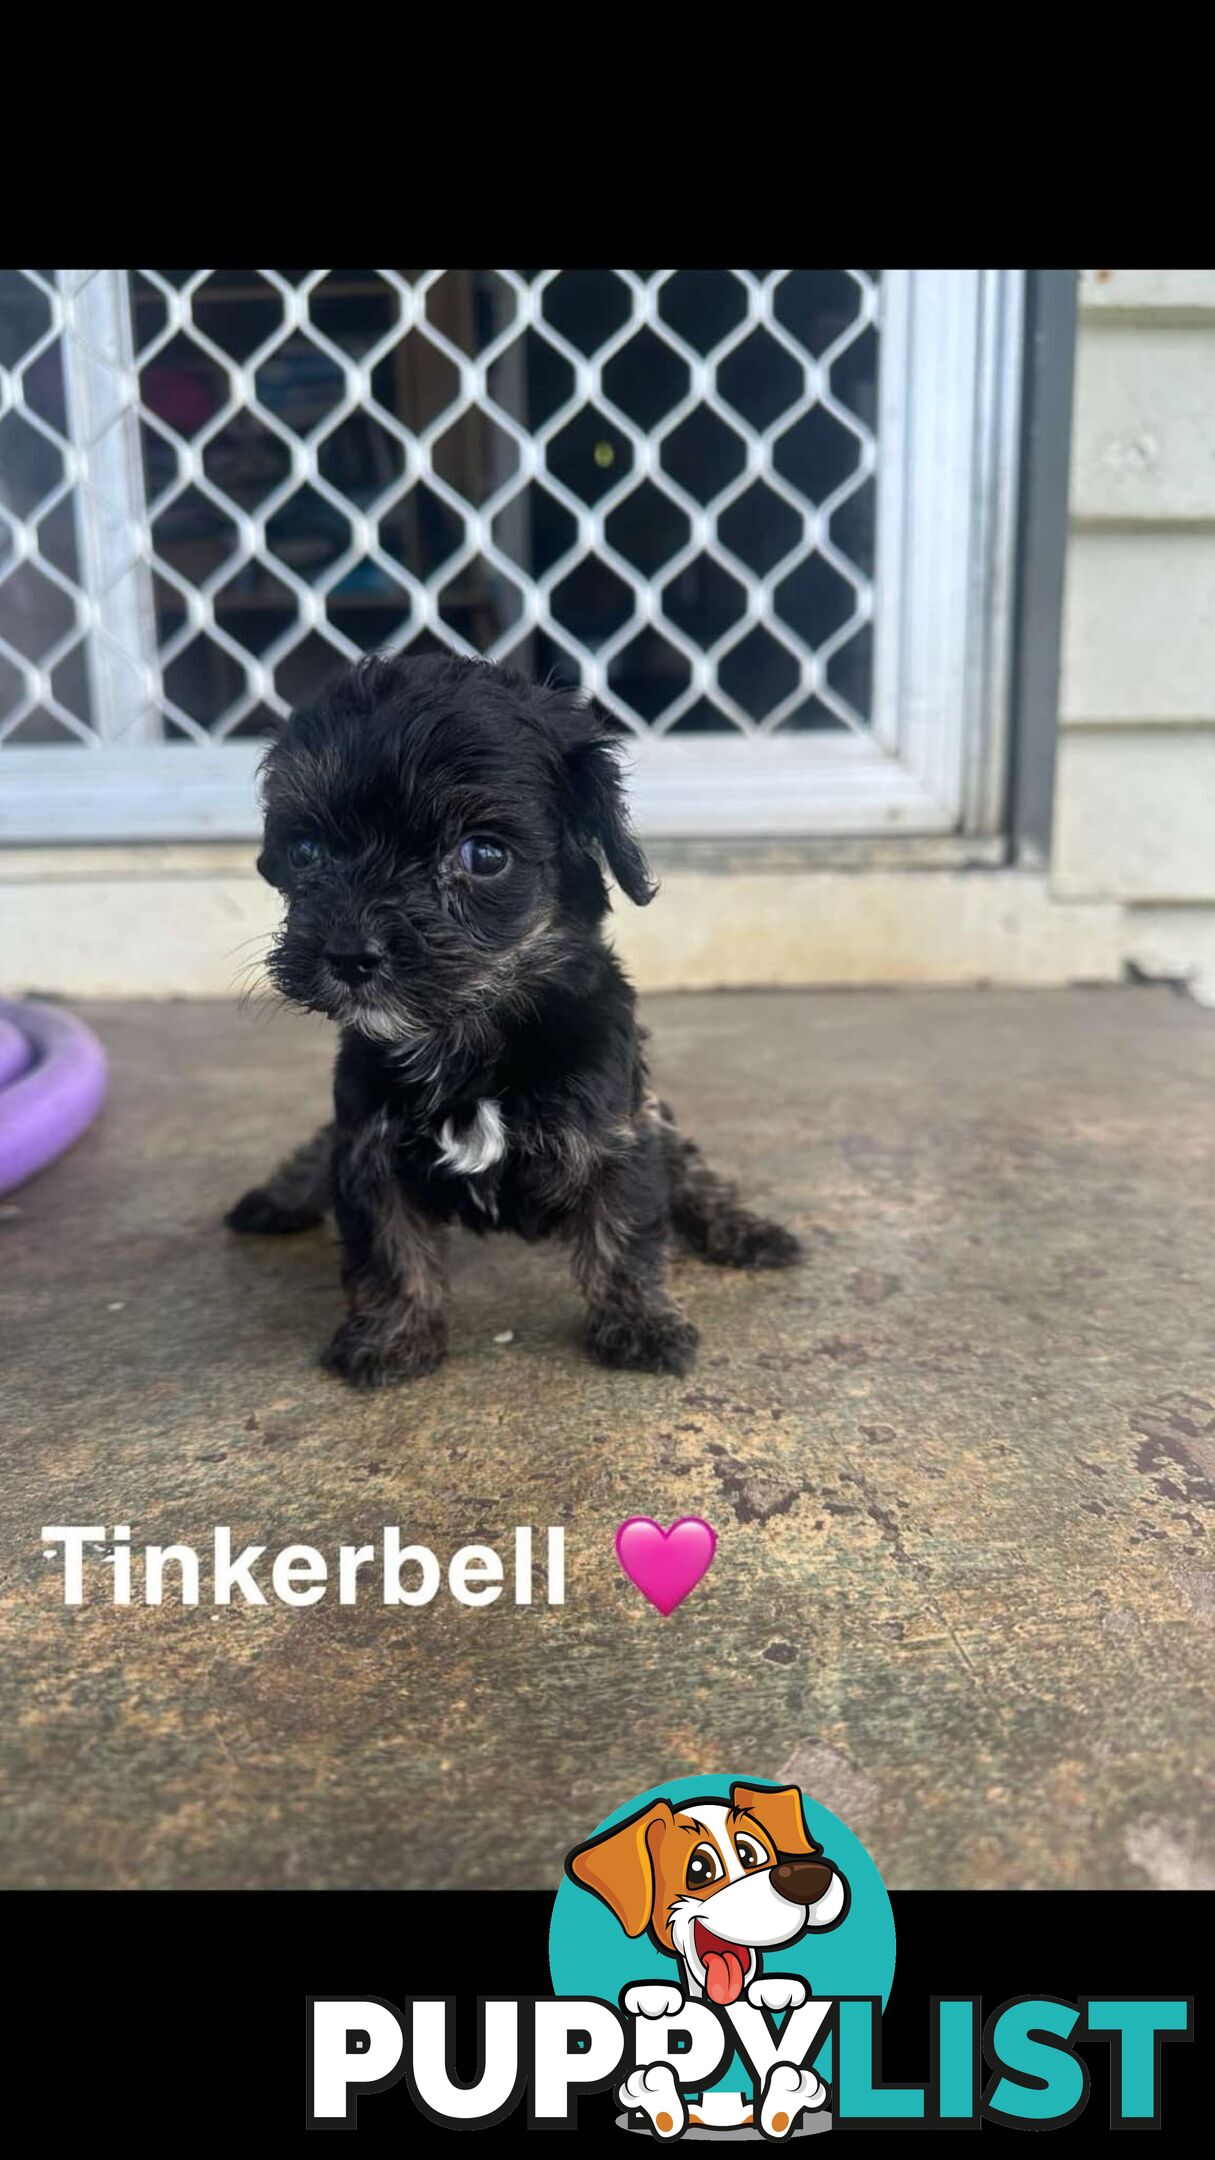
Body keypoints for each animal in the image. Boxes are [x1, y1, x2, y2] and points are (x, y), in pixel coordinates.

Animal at [225, 648, 795, 1382]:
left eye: (484, 854)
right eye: (305, 852)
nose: (349, 956)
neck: (471, 1037)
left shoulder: (617, 1130)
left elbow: (626, 1228)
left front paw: (642, 1323)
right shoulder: (367, 1143)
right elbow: (387, 1245)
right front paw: (392, 1336)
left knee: (691, 1169)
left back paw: (745, 1231)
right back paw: (276, 1200)